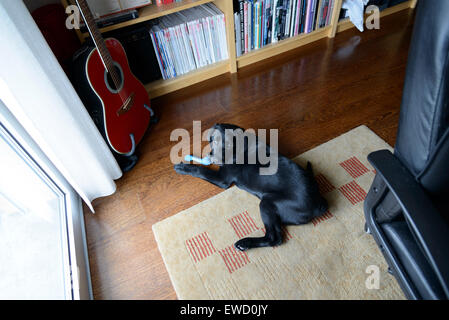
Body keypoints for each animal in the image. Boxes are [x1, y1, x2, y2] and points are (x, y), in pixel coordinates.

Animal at [173, 124, 328, 251]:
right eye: (214, 141)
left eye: (228, 145)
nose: (213, 159)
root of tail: (318, 203)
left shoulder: (222, 178)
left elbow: (200, 170)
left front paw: (183, 167)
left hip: (267, 203)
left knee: (274, 238)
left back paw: (245, 243)